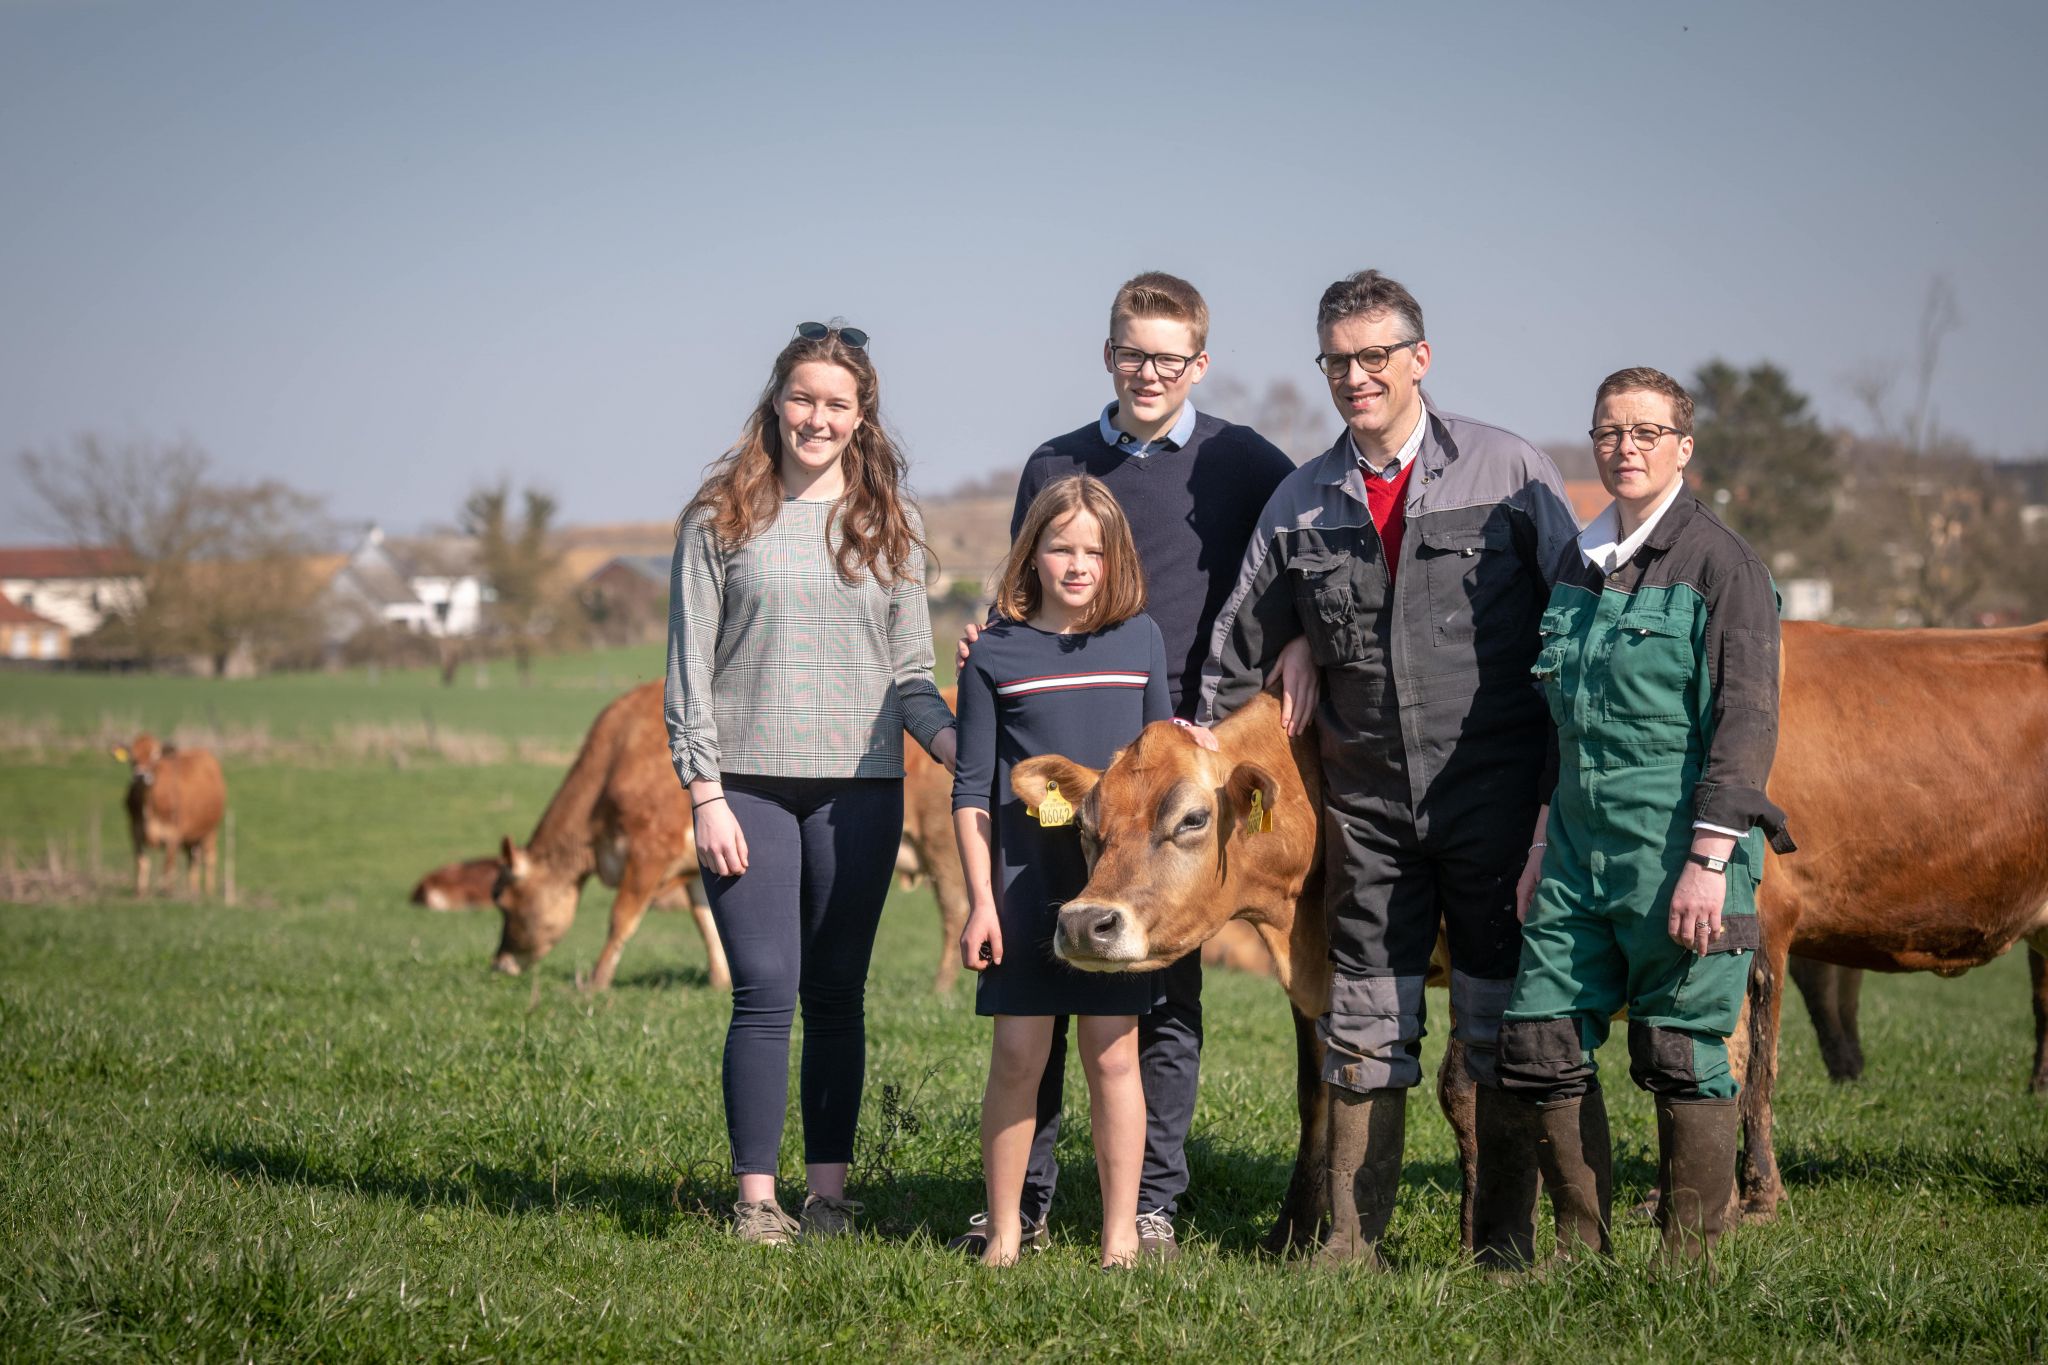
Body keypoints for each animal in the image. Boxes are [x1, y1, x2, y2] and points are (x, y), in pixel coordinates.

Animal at [112, 736, 226, 896]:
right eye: (132, 755)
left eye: (155, 755)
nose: (141, 775)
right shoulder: (135, 832)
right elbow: (141, 862)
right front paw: (140, 892)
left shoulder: (173, 834)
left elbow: (168, 864)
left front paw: (167, 892)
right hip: (192, 837)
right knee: (193, 860)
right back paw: (193, 892)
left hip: (211, 830)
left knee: (209, 859)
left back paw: (208, 893)